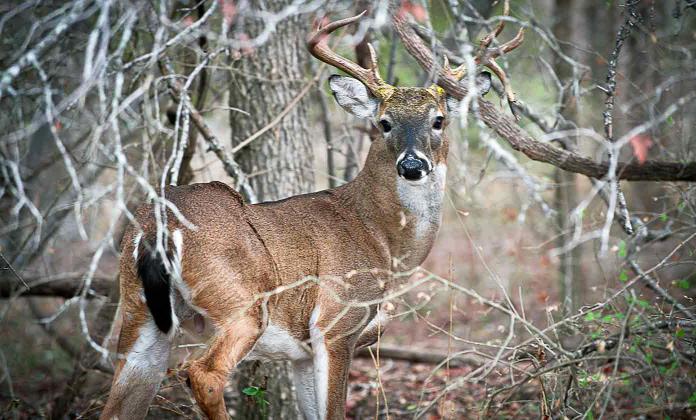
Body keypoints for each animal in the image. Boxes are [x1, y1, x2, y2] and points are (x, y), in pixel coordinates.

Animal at [99, 9, 522, 420]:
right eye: (384, 123)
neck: (381, 238)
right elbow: (334, 411)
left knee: (120, 401)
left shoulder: (300, 352)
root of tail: (156, 227)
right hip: (240, 302)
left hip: (140, 313)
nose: (412, 165)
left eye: (438, 120)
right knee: (203, 374)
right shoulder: (336, 323)